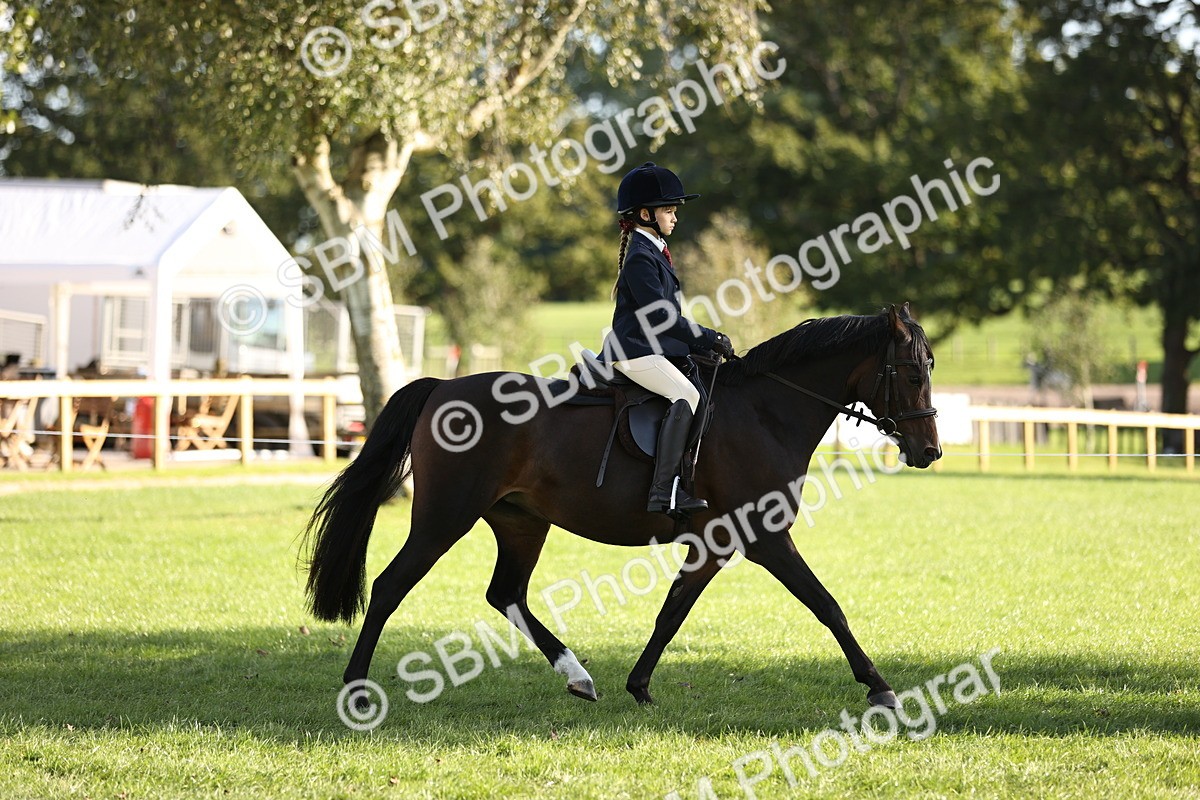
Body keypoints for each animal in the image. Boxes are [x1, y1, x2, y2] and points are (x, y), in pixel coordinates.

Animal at [302, 303, 940, 710]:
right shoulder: (765, 537)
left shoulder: (717, 544)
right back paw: (356, 689)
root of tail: (442, 388)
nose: (929, 451)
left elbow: (671, 613)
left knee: (506, 593)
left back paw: (579, 677)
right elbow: (828, 605)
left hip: (521, 522)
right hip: (443, 518)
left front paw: (639, 685)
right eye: (911, 372)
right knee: (390, 586)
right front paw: (879, 686)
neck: (766, 411)